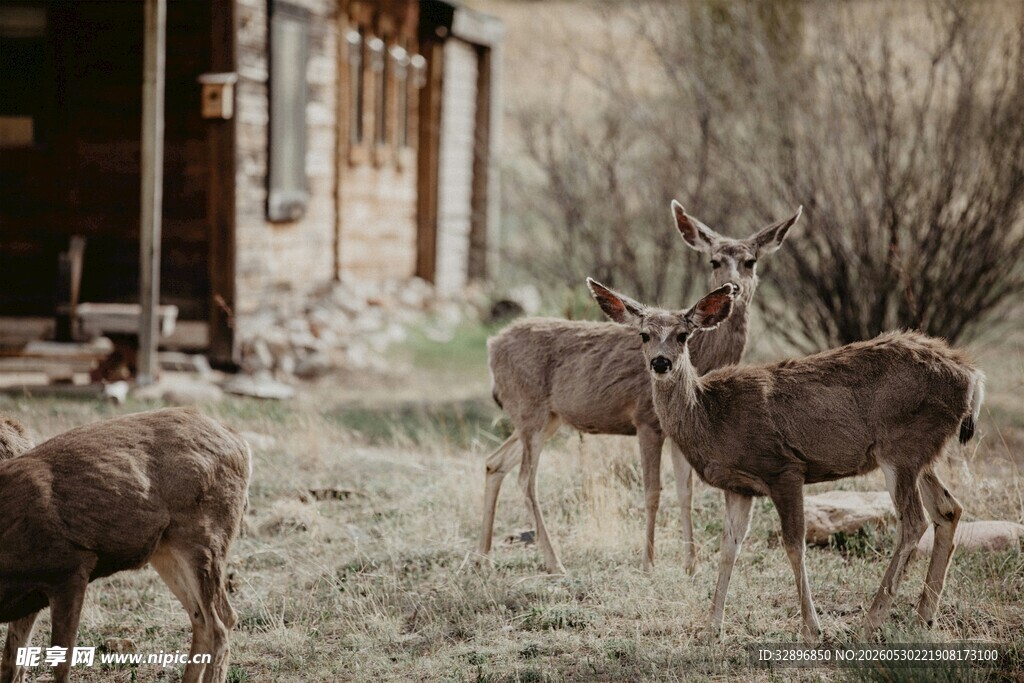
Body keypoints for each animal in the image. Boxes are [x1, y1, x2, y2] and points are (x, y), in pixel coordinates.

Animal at [0, 407, 252, 683]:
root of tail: (239, 441)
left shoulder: (72, 568)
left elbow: (60, 661)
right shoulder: (30, 596)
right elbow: (11, 661)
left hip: (205, 538)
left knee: (222, 621)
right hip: (166, 551)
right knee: (200, 618)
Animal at [480, 201, 802, 575]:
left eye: (751, 261)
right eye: (714, 261)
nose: (733, 287)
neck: (702, 359)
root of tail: (492, 346)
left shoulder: (683, 430)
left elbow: (685, 490)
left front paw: (691, 565)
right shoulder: (646, 419)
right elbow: (653, 492)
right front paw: (649, 563)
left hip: (546, 417)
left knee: (494, 462)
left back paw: (483, 554)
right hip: (530, 408)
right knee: (526, 479)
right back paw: (555, 563)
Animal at [587, 279, 984, 641]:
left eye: (684, 335)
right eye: (644, 335)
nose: (661, 362)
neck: (710, 416)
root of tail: (972, 376)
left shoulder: (784, 468)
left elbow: (794, 546)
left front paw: (812, 628)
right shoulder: (739, 487)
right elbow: (729, 549)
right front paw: (711, 628)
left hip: (900, 449)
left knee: (913, 521)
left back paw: (870, 622)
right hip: (922, 453)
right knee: (949, 510)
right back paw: (923, 616)